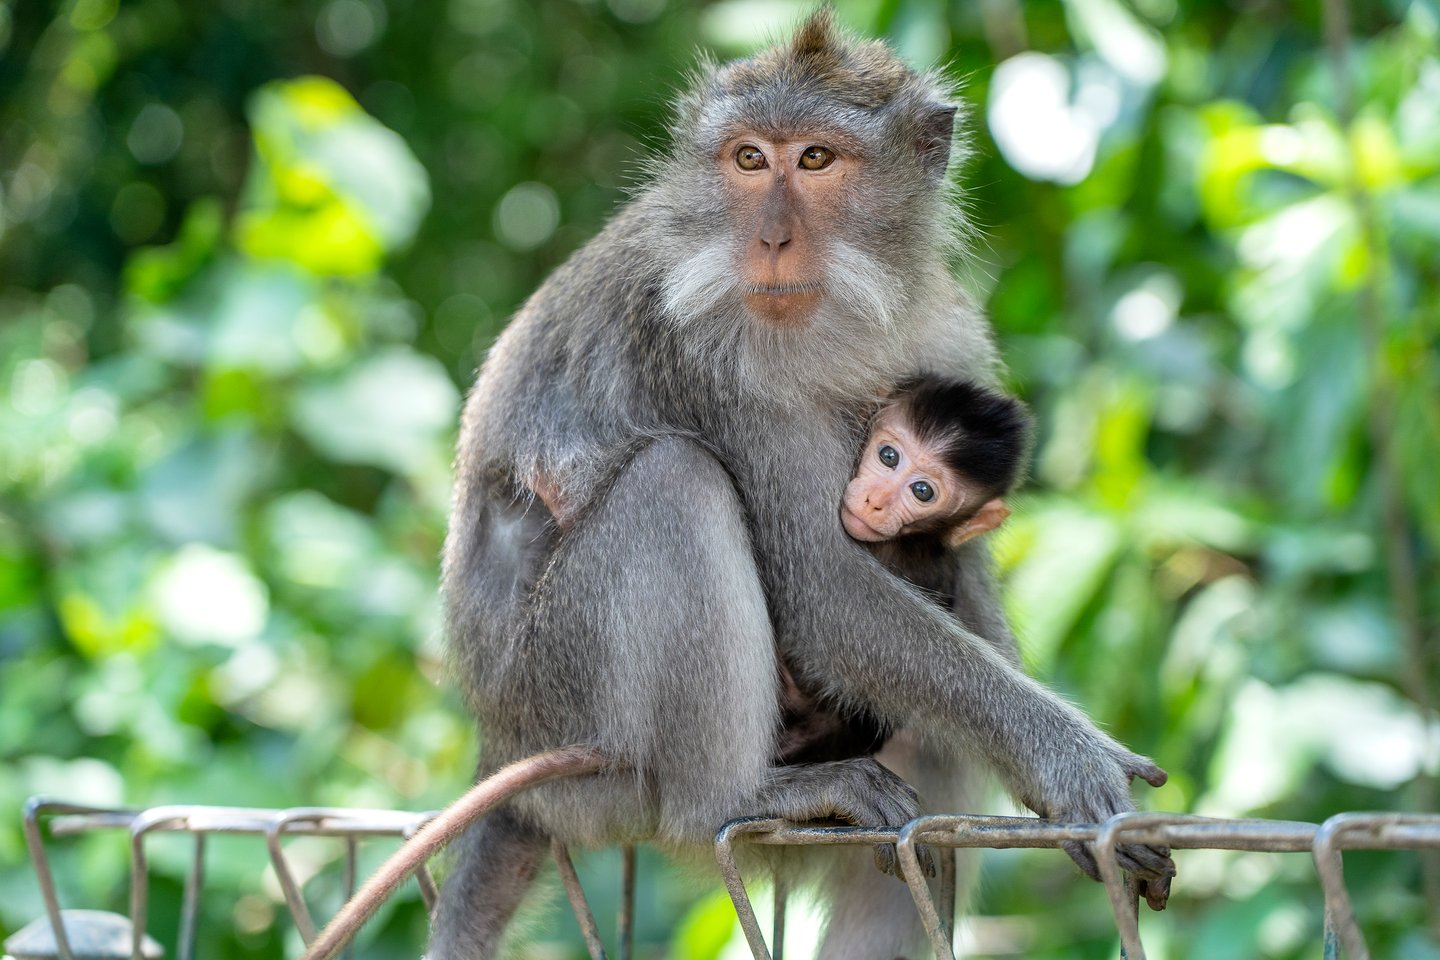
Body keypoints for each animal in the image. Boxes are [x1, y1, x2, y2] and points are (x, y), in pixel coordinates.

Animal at [431, 11, 1173, 959]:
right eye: (750, 158)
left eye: (815, 159)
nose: (771, 239)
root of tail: (498, 747)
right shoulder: (711, 361)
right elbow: (821, 582)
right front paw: (1069, 764)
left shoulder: (940, 328)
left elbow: (958, 567)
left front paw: (1047, 794)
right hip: (570, 723)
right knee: (674, 482)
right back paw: (727, 798)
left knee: (927, 788)